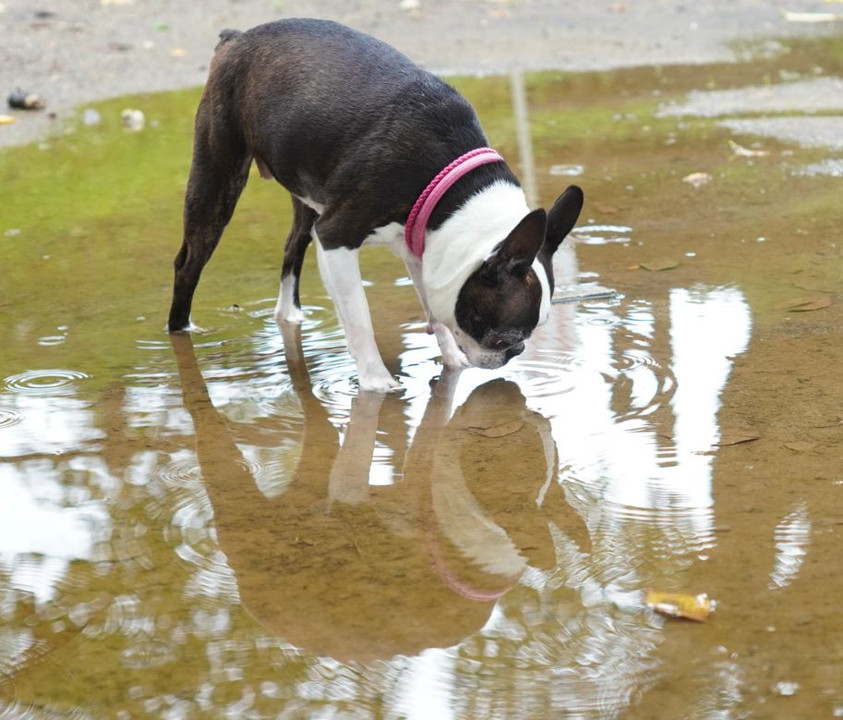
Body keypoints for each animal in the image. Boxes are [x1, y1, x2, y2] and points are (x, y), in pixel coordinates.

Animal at [167, 19, 584, 390]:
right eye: (502, 337)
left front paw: (451, 365)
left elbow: (433, 312)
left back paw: (289, 314)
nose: (514, 354)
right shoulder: (336, 237)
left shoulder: (422, 246)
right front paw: (376, 383)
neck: (449, 182)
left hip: (306, 196)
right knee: (189, 263)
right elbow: (359, 317)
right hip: (218, 175)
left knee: (292, 247)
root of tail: (237, 38)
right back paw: (180, 329)